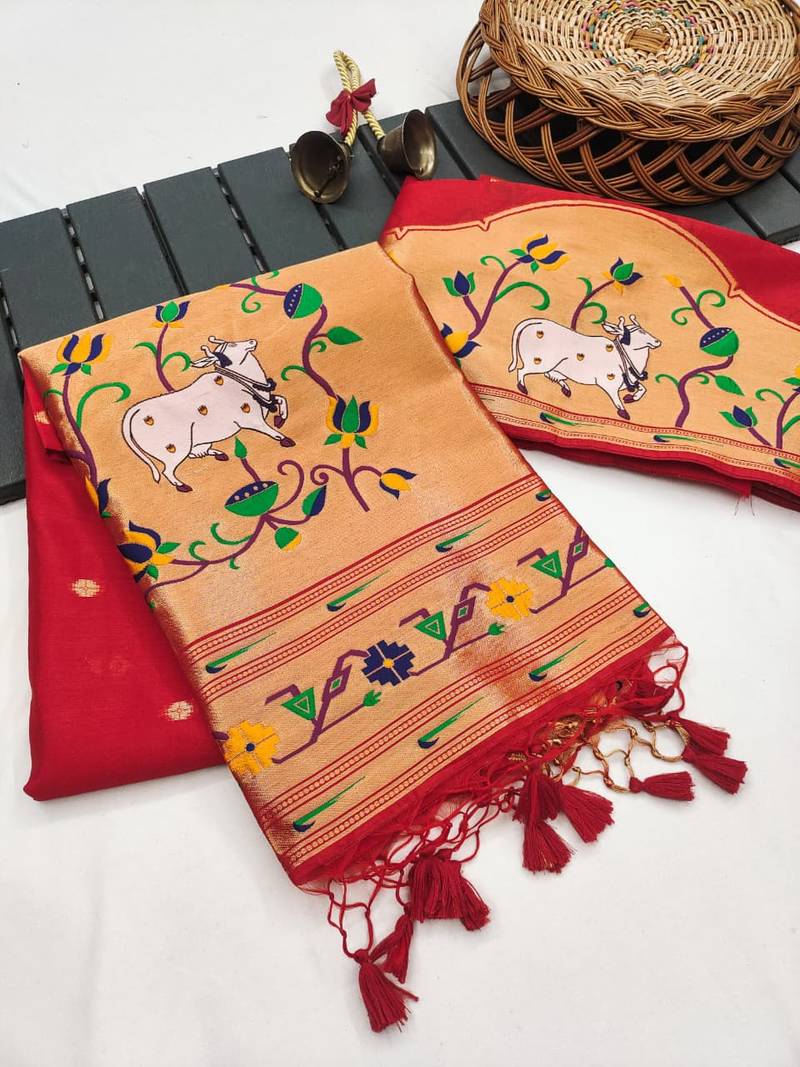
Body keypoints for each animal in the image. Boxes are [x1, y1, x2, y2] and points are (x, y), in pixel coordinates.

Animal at [122, 336, 292, 492]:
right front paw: (285, 439)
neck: (241, 381)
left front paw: (280, 419)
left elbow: (281, 400)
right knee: (167, 470)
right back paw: (182, 486)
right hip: (174, 448)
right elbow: (270, 431)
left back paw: (218, 453)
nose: (252, 341)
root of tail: (135, 410)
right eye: (232, 345)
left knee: (194, 454)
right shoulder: (251, 418)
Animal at [508, 314, 662, 419]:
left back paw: (566, 388)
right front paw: (623, 412)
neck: (624, 356)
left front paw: (631, 397)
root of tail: (536, 320)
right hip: (539, 361)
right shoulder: (609, 383)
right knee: (522, 370)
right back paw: (522, 387)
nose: (657, 341)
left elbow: (642, 389)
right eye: (639, 333)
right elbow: (616, 399)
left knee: (549, 374)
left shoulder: (629, 381)